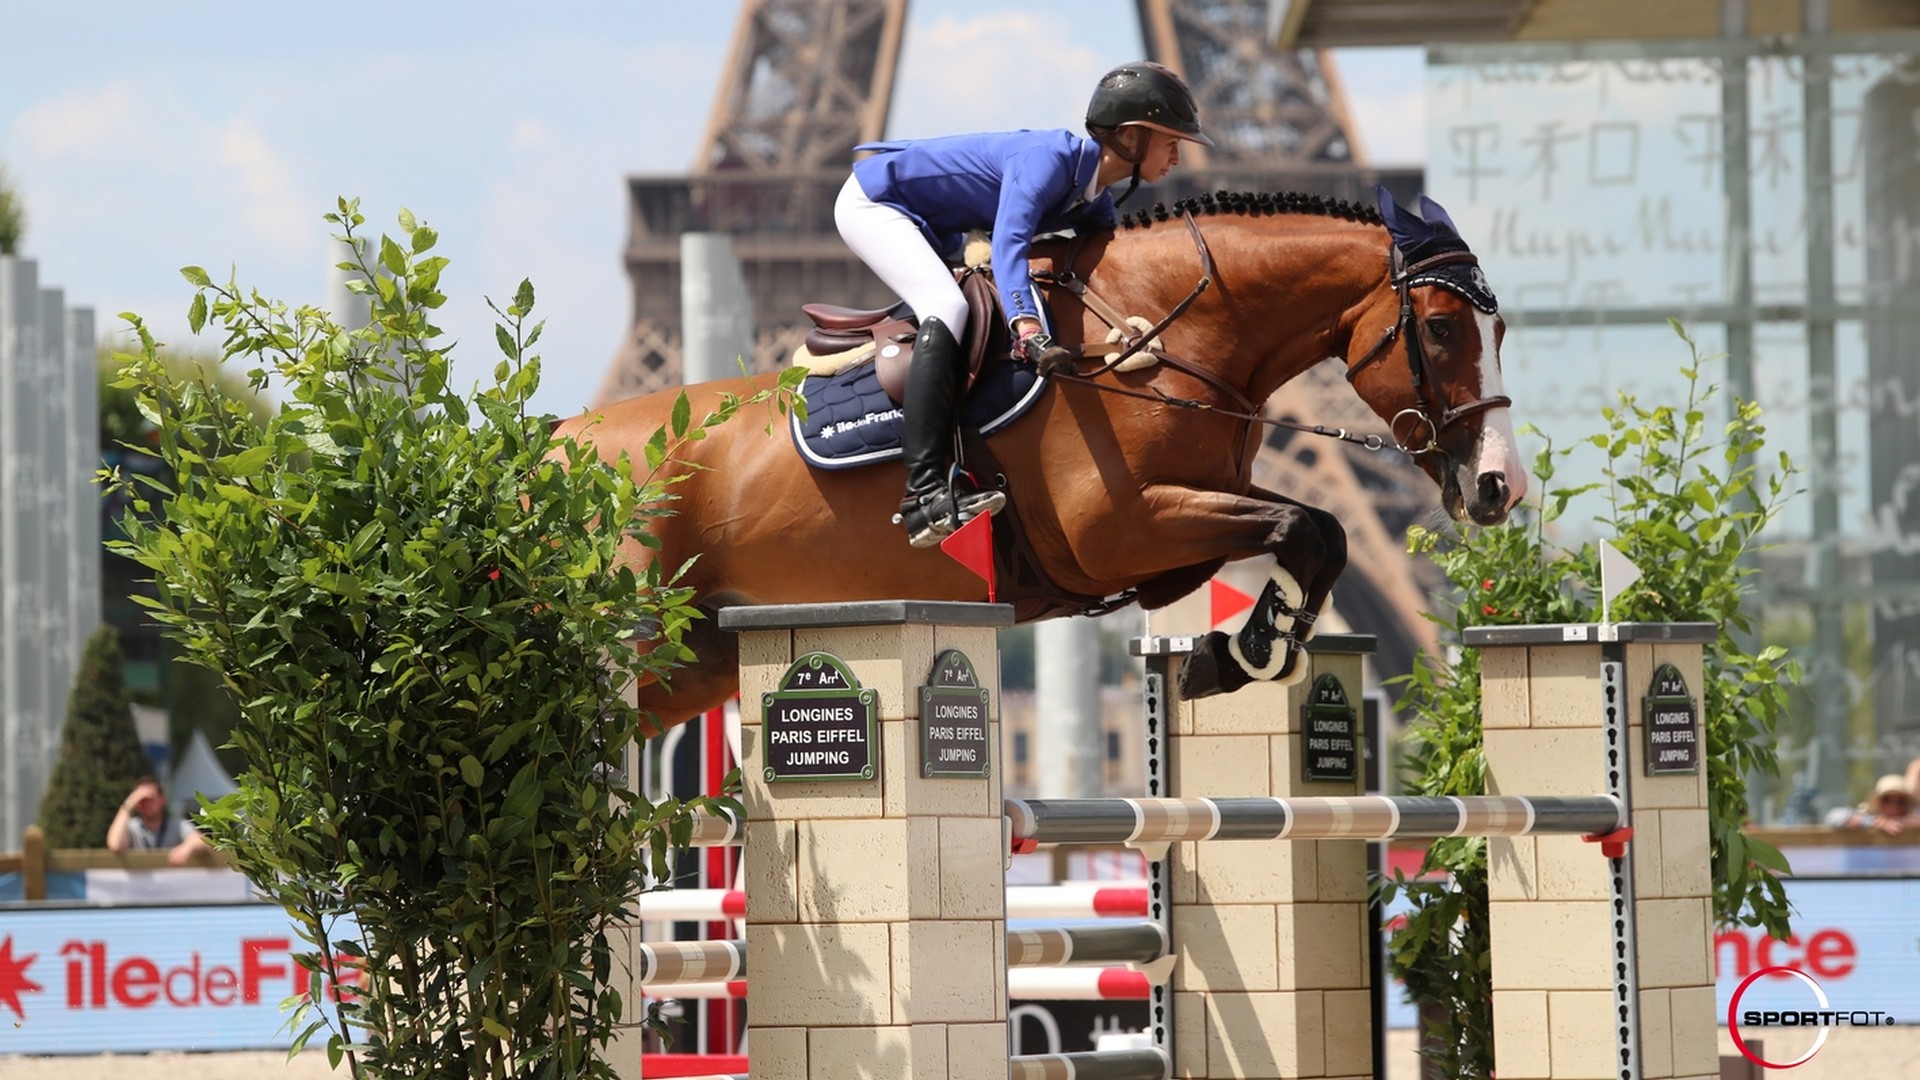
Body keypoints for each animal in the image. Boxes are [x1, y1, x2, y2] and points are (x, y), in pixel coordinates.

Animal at [560, 187, 1528, 722]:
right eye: (1442, 329)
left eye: (1502, 332)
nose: (1499, 486)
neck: (1152, 336)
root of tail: (553, 442)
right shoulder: (1123, 528)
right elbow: (1312, 526)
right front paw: (1245, 649)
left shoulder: (1177, 528)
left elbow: (1316, 531)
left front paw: (1239, 651)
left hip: (690, 666)